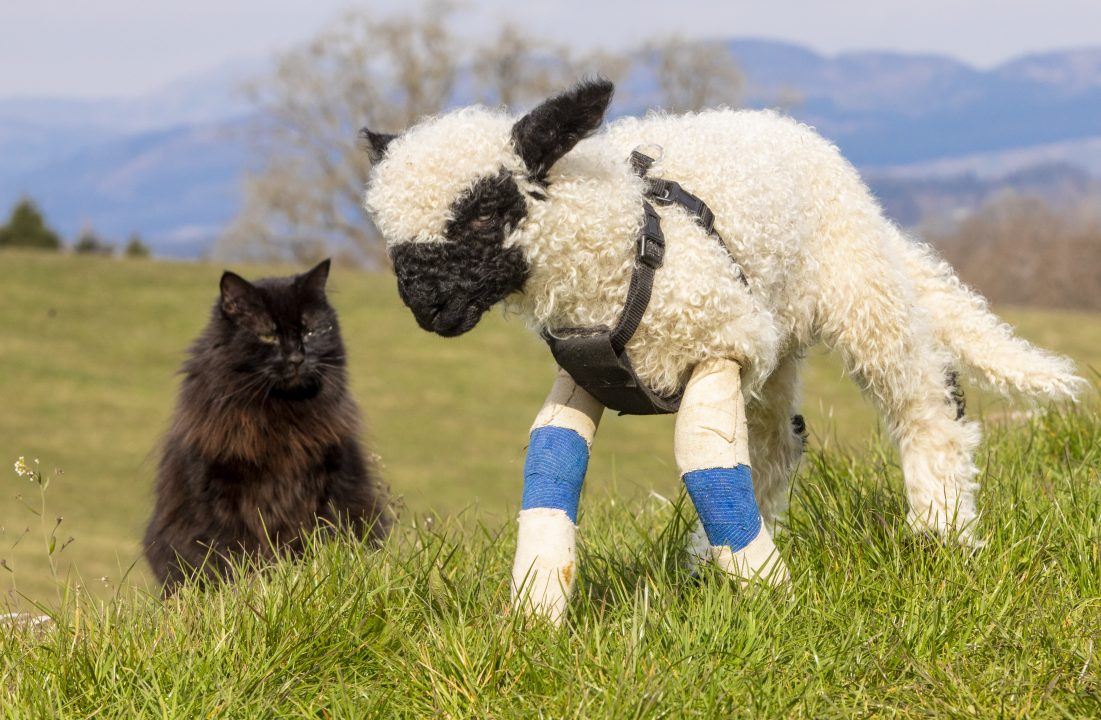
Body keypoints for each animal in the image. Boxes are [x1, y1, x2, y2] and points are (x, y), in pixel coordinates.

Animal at [144, 259, 389, 594]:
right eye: (268, 336)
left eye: (310, 331)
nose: (297, 358)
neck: (280, 416)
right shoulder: (219, 493)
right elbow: (236, 552)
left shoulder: (324, 485)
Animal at [363, 77, 1083, 620]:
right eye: (387, 227)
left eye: (485, 212)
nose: (425, 307)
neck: (615, 245)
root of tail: (790, 131)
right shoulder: (589, 369)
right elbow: (550, 451)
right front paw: (536, 608)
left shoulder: (720, 340)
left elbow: (701, 450)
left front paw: (769, 591)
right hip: (779, 334)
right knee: (775, 441)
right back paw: (717, 555)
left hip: (856, 284)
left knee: (924, 400)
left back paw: (942, 530)